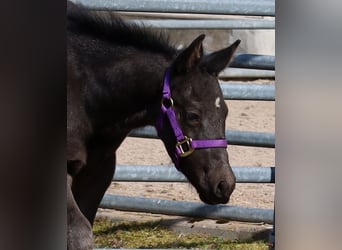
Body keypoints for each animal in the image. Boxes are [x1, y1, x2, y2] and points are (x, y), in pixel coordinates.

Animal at [67, 1, 240, 248]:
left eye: (225, 112)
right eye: (193, 115)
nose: (224, 184)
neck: (83, 91)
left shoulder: (98, 169)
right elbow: (79, 232)